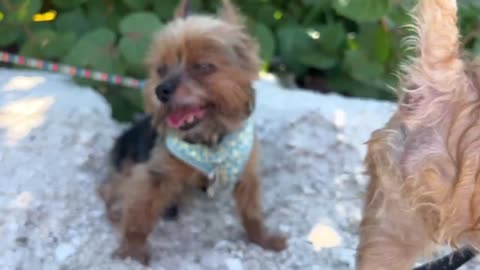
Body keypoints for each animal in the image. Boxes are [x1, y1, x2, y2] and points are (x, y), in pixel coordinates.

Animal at [95, 0, 286, 266]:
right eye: (161, 69)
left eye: (203, 67)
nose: (160, 90)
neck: (211, 139)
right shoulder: (155, 173)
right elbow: (139, 213)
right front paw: (132, 251)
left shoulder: (247, 172)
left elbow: (252, 211)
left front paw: (262, 239)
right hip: (127, 163)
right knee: (109, 188)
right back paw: (116, 209)